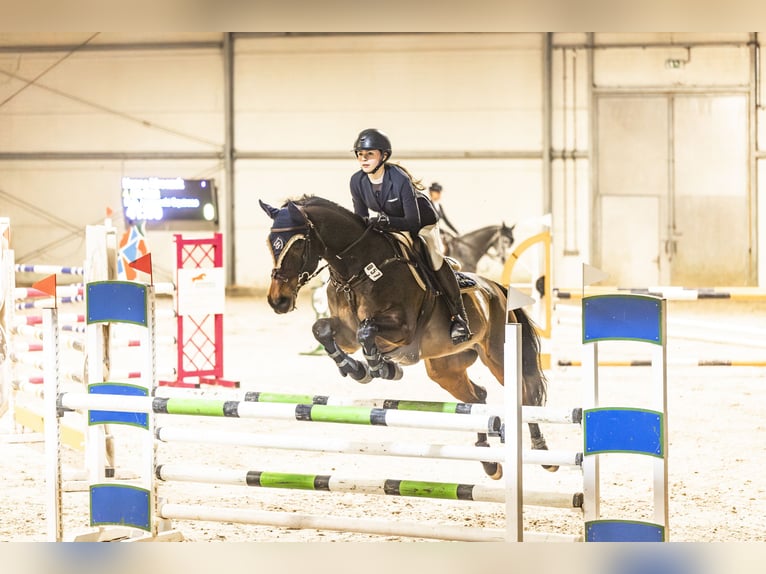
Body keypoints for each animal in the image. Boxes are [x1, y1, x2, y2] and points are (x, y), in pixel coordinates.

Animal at [260, 196, 556, 480]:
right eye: (270, 244)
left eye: (297, 245)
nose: (278, 301)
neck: (357, 271)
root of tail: (496, 288)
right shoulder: (345, 334)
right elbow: (322, 329)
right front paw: (356, 368)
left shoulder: (403, 329)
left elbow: (366, 330)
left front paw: (379, 367)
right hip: (445, 368)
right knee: (477, 397)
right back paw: (488, 461)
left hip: (498, 356)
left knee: (524, 397)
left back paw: (543, 453)